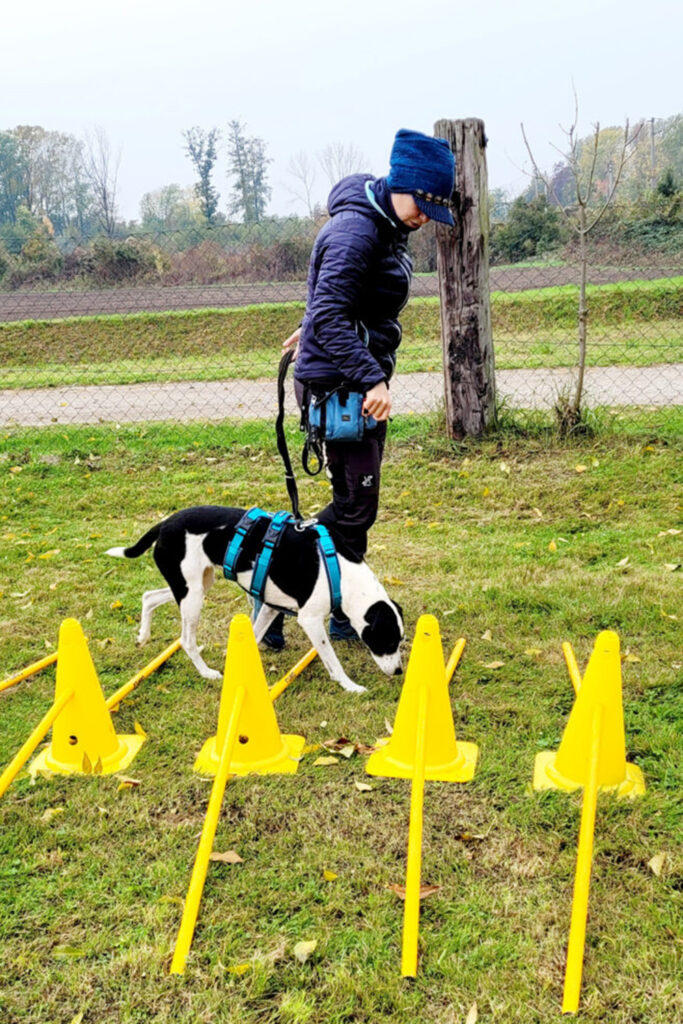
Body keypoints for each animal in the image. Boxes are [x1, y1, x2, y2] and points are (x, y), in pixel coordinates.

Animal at [105, 505, 403, 692]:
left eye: (400, 641)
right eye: (387, 641)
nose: (400, 671)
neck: (341, 572)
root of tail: (164, 524)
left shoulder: (271, 607)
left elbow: (257, 635)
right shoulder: (310, 620)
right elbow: (332, 659)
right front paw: (350, 686)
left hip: (197, 584)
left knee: (149, 596)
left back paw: (143, 635)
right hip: (192, 596)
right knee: (186, 640)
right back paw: (206, 672)